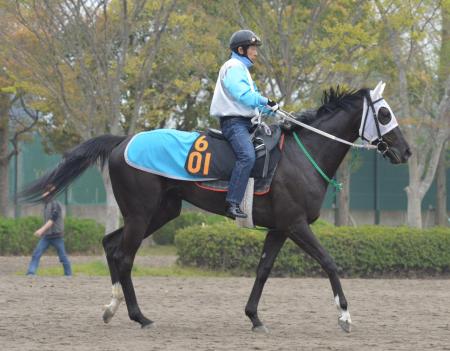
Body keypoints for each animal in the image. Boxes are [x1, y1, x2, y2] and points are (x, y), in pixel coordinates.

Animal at [22, 84, 412, 334]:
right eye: (384, 113)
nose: (405, 151)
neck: (302, 156)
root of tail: (123, 142)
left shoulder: (279, 228)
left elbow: (263, 270)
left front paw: (254, 317)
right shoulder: (296, 223)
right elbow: (329, 261)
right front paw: (344, 316)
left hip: (160, 213)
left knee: (110, 244)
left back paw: (112, 307)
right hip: (142, 213)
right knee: (123, 255)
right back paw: (139, 316)